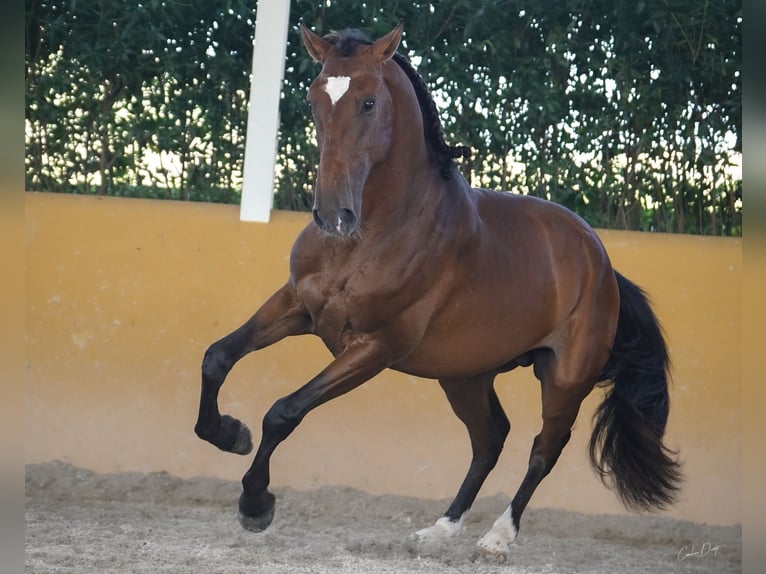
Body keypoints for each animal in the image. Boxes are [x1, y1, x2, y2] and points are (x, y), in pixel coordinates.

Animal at [195, 23, 680, 560]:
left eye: (368, 102)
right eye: (312, 98)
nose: (333, 214)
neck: (368, 236)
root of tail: (602, 262)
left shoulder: (375, 347)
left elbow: (283, 412)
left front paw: (255, 504)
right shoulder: (297, 307)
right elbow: (218, 357)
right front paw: (227, 433)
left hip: (564, 378)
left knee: (544, 448)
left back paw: (497, 538)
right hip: (464, 375)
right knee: (490, 439)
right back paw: (440, 529)